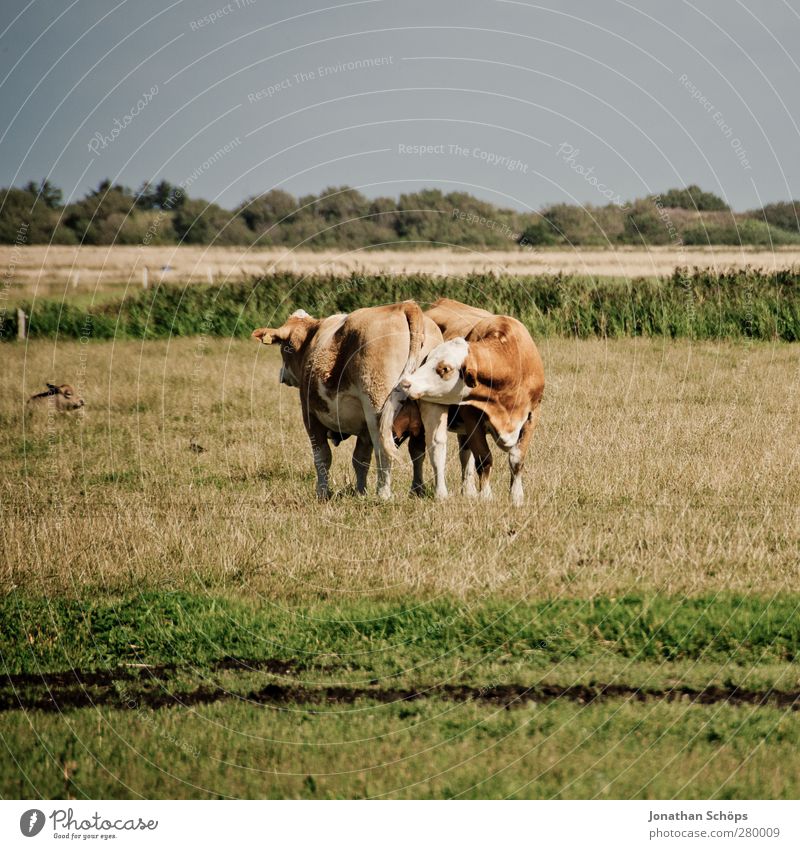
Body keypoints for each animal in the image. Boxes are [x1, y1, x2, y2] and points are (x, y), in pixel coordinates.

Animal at [255, 302, 444, 496]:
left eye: (284, 347)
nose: (282, 374)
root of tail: (404, 305)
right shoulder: (364, 429)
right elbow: (360, 460)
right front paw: (361, 492)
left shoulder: (310, 415)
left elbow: (322, 457)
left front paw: (322, 493)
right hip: (431, 408)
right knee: (433, 446)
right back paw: (430, 492)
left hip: (376, 407)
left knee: (384, 450)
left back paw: (383, 494)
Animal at [384, 298, 548, 504]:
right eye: (427, 359)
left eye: (445, 368)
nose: (406, 383)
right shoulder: (472, 418)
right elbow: (484, 459)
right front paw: (486, 496)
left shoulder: (532, 416)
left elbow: (516, 460)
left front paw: (516, 497)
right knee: (419, 451)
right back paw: (419, 489)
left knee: (462, 454)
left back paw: (467, 491)